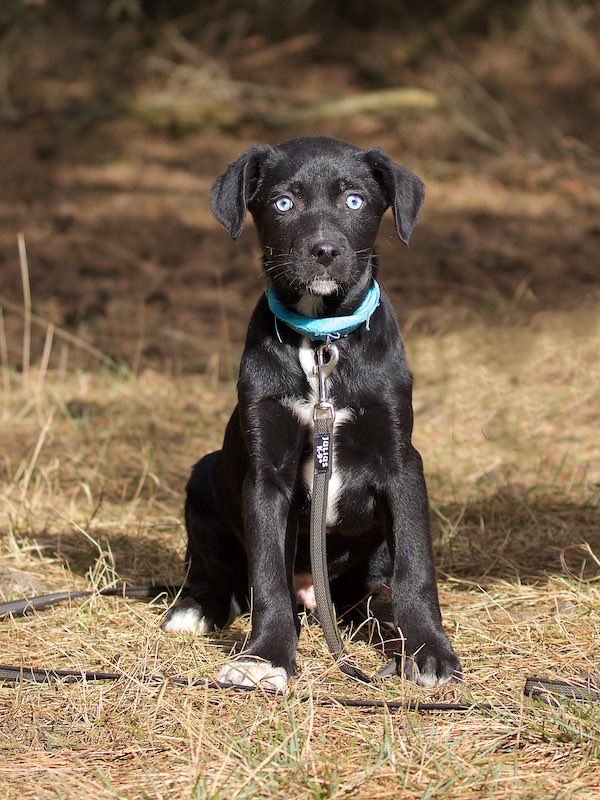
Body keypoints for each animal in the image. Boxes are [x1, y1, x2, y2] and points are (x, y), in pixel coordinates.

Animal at [162, 136, 461, 692]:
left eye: (354, 200)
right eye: (284, 203)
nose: (324, 251)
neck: (322, 340)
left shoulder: (402, 465)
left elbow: (416, 567)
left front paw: (429, 650)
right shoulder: (266, 476)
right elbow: (266, 578)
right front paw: (266, 657)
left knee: (375, 592)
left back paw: (385, 620)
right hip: (203, 481)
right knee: (220, 577)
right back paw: (194, 610)